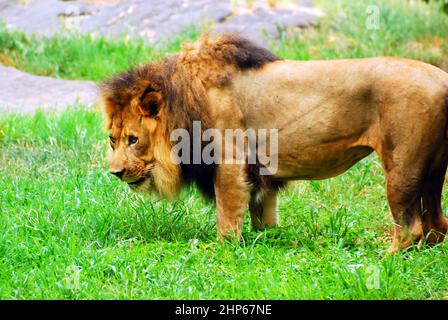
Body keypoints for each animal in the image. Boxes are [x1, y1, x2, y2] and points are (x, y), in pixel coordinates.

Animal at [100, 32, 448, 252]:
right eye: (112, 139)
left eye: (134, 139)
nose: (115, 173)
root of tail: (441, 80)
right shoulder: (259, 174)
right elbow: (262, 215)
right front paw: (267, 240)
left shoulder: (230, 162)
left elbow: (227, 215)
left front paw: (221, 249)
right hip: (432, 173)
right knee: (436, 223)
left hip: (402, 169)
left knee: (411, 227)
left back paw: (385, 259)